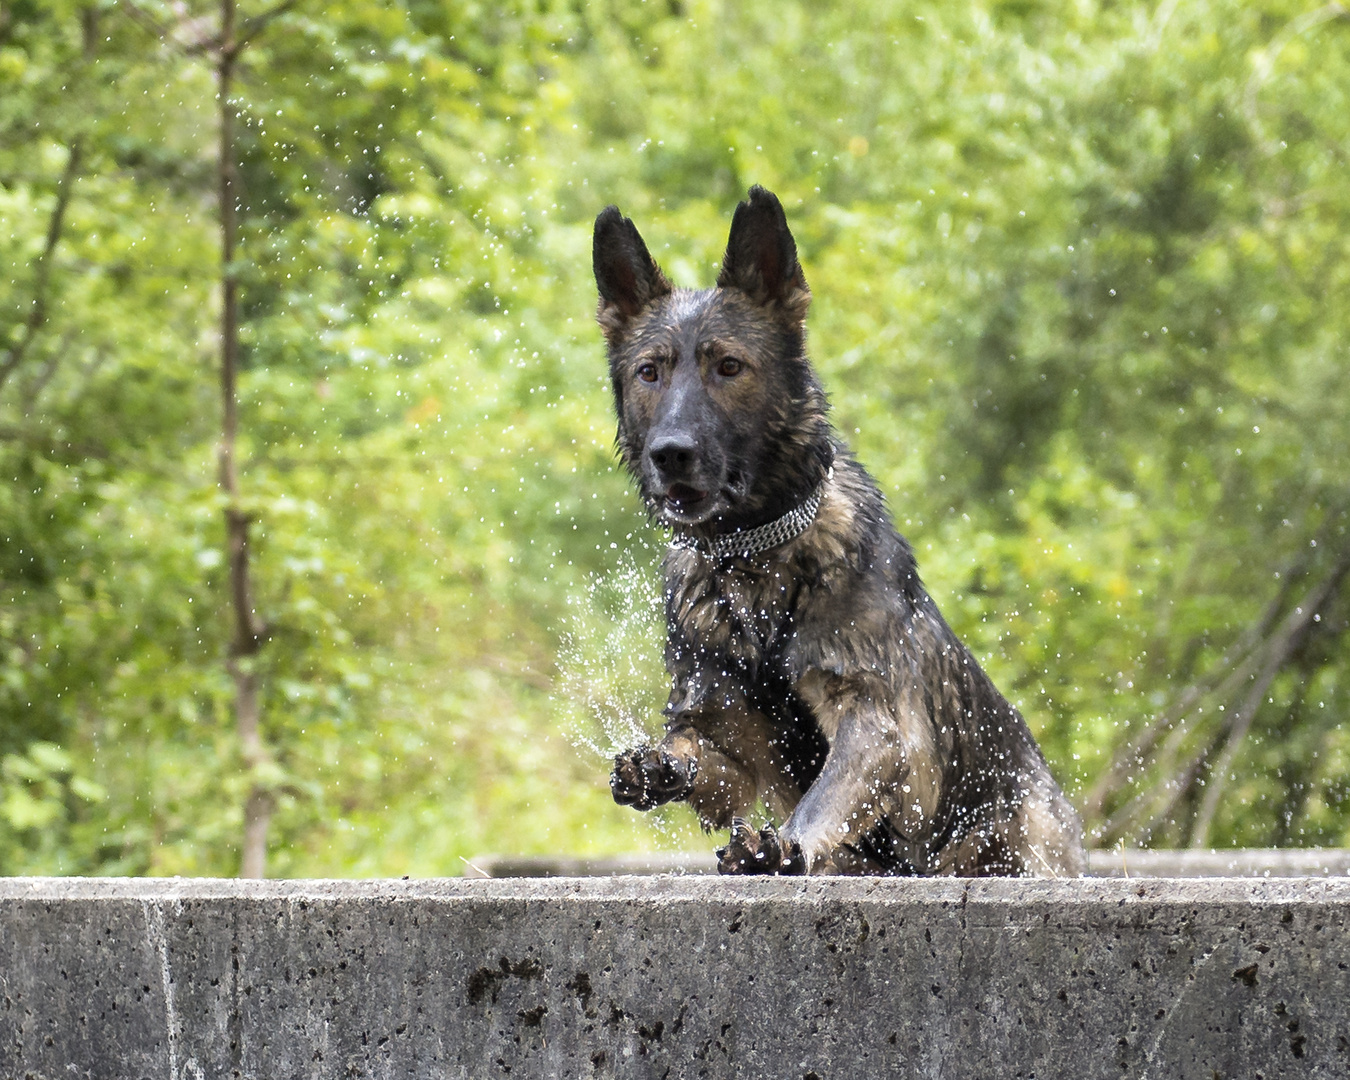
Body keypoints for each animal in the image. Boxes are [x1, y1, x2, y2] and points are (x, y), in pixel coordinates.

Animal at [591, 187, 1085, 874]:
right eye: (649, 373)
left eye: (729, 366)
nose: (670, 454)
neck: (755, 557)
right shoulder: (726, 727)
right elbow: (699, 755)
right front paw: (657, 765)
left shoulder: (873, 718)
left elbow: (822, 800)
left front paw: (782, 846)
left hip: (1016, 834)